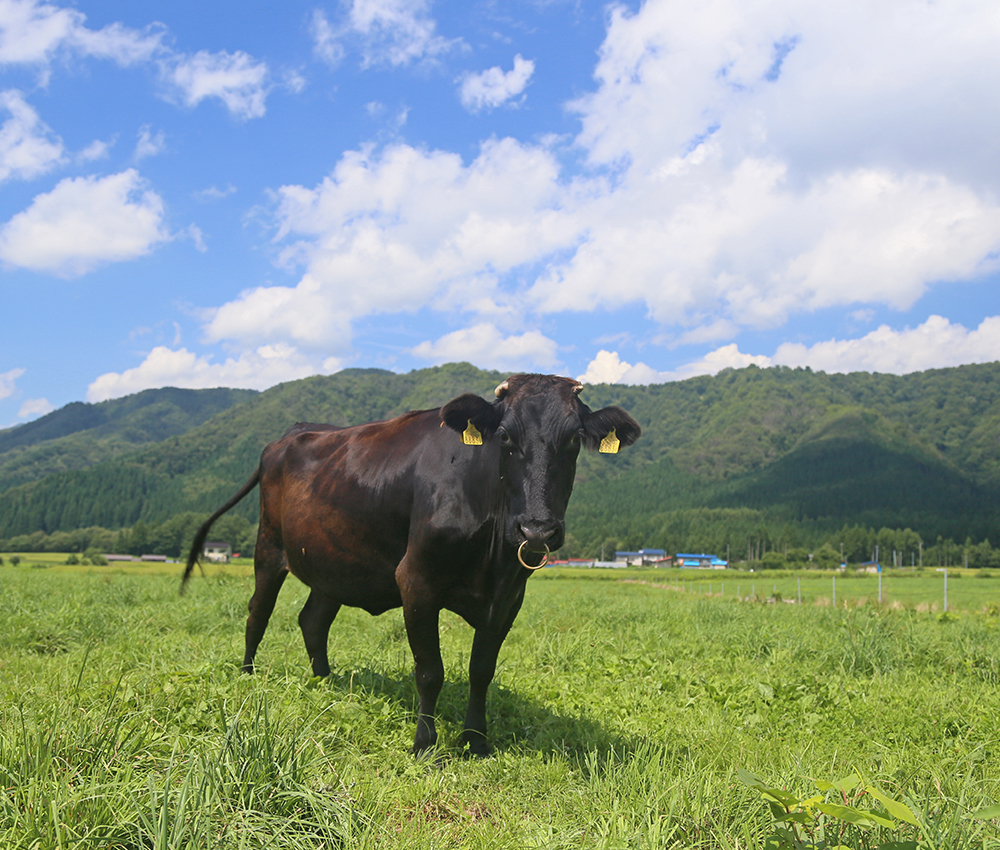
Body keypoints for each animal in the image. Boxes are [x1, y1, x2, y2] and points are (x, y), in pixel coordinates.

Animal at [184, 374, 640, 752]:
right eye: (505, 436)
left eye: (574, 438)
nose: (537, 529)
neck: (490, 557)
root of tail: (291, 432)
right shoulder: (417, 581)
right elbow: (430, 671)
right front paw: (424, 742)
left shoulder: (509, 596)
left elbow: (482, 671)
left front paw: (476, 740)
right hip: (268, 546)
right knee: (258, 612)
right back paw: (247, 675)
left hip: (334, 563)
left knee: (312, 620)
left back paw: (325, 681)